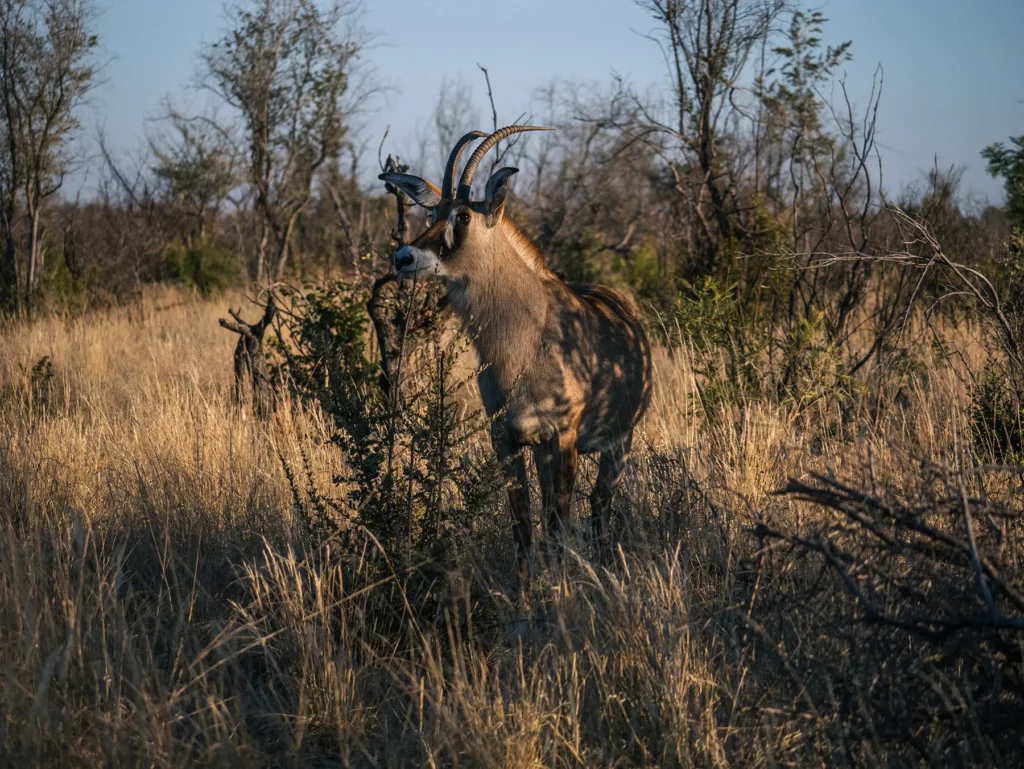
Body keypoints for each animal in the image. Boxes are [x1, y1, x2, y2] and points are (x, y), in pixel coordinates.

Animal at [379, 125, 652, 583]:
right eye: (433, 215)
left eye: (463, 217)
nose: (404, 257)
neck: (525, 342)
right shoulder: (507, 440)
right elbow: (524, 527)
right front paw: (526, 593)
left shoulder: (563, 437)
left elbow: (558, 526)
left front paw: (561, 593)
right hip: (545, 450)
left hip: (618, 442)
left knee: (600, 507)